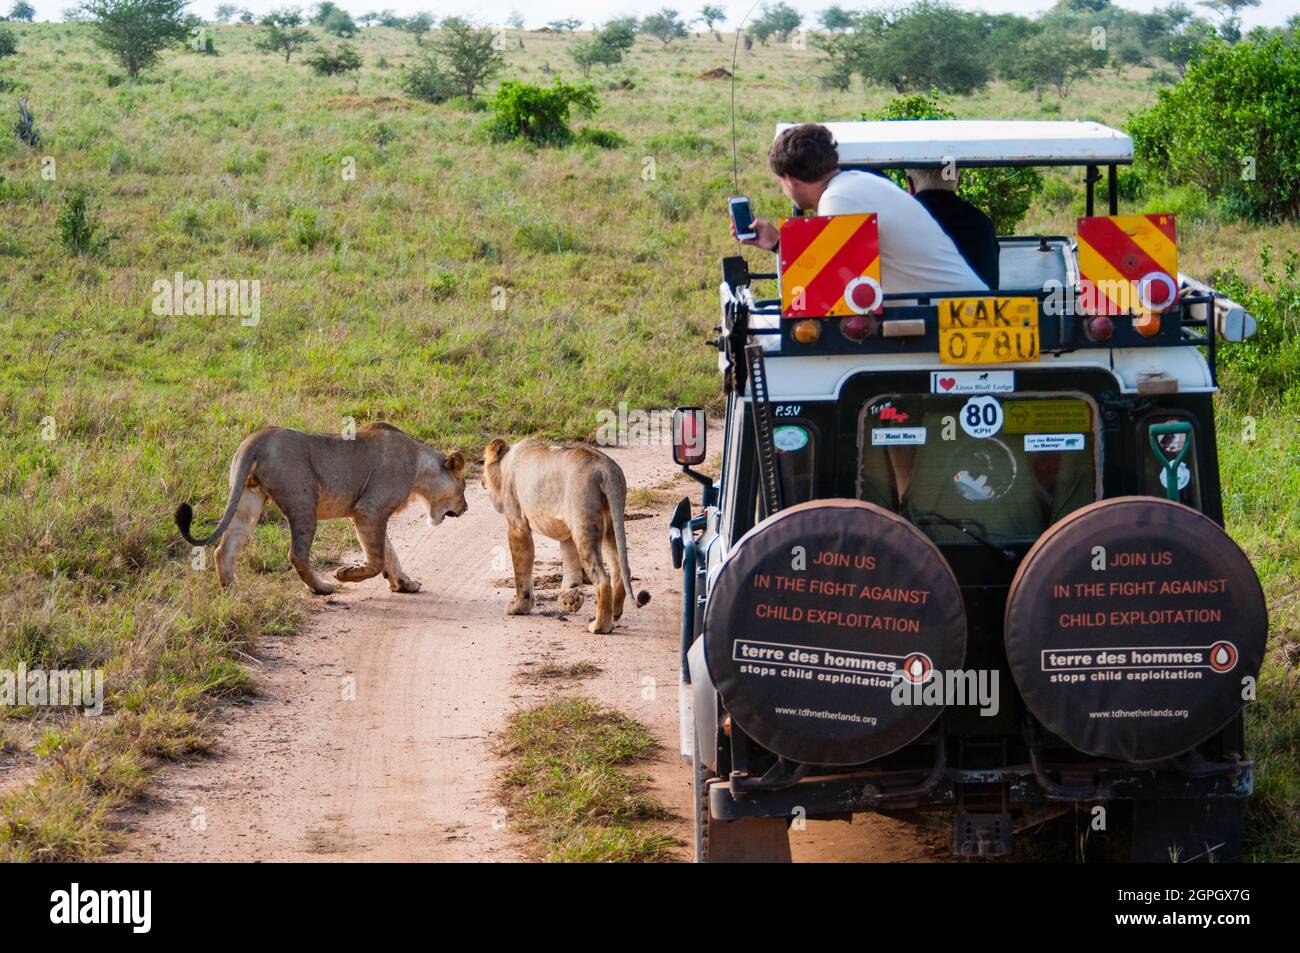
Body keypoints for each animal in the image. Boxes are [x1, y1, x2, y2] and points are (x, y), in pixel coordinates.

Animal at [175, 423, 465, 595]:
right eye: (463, 485)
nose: (465, 507)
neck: (419, 467)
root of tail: (260, 436)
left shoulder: (370, 513)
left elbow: (389, 552)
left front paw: (405, 583)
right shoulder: (369, 510)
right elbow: (377, 559)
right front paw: (346, 574)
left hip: (248, 499)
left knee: (224, 549)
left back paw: (233, 590)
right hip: (303, 501)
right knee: (297, 554)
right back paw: (324, 587)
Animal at [483, 436, 650, 631]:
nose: (482, 484)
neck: (507, 462)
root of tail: (605, 467)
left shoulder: (518, 524)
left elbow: (521, 570)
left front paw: (519, 608)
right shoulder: (567, 531)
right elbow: (570, 562)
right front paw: (569, 599)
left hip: (582, 523)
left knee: (602, 578)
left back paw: (599, 627)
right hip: (610, 524)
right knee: (619, 569)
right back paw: (614, 615)